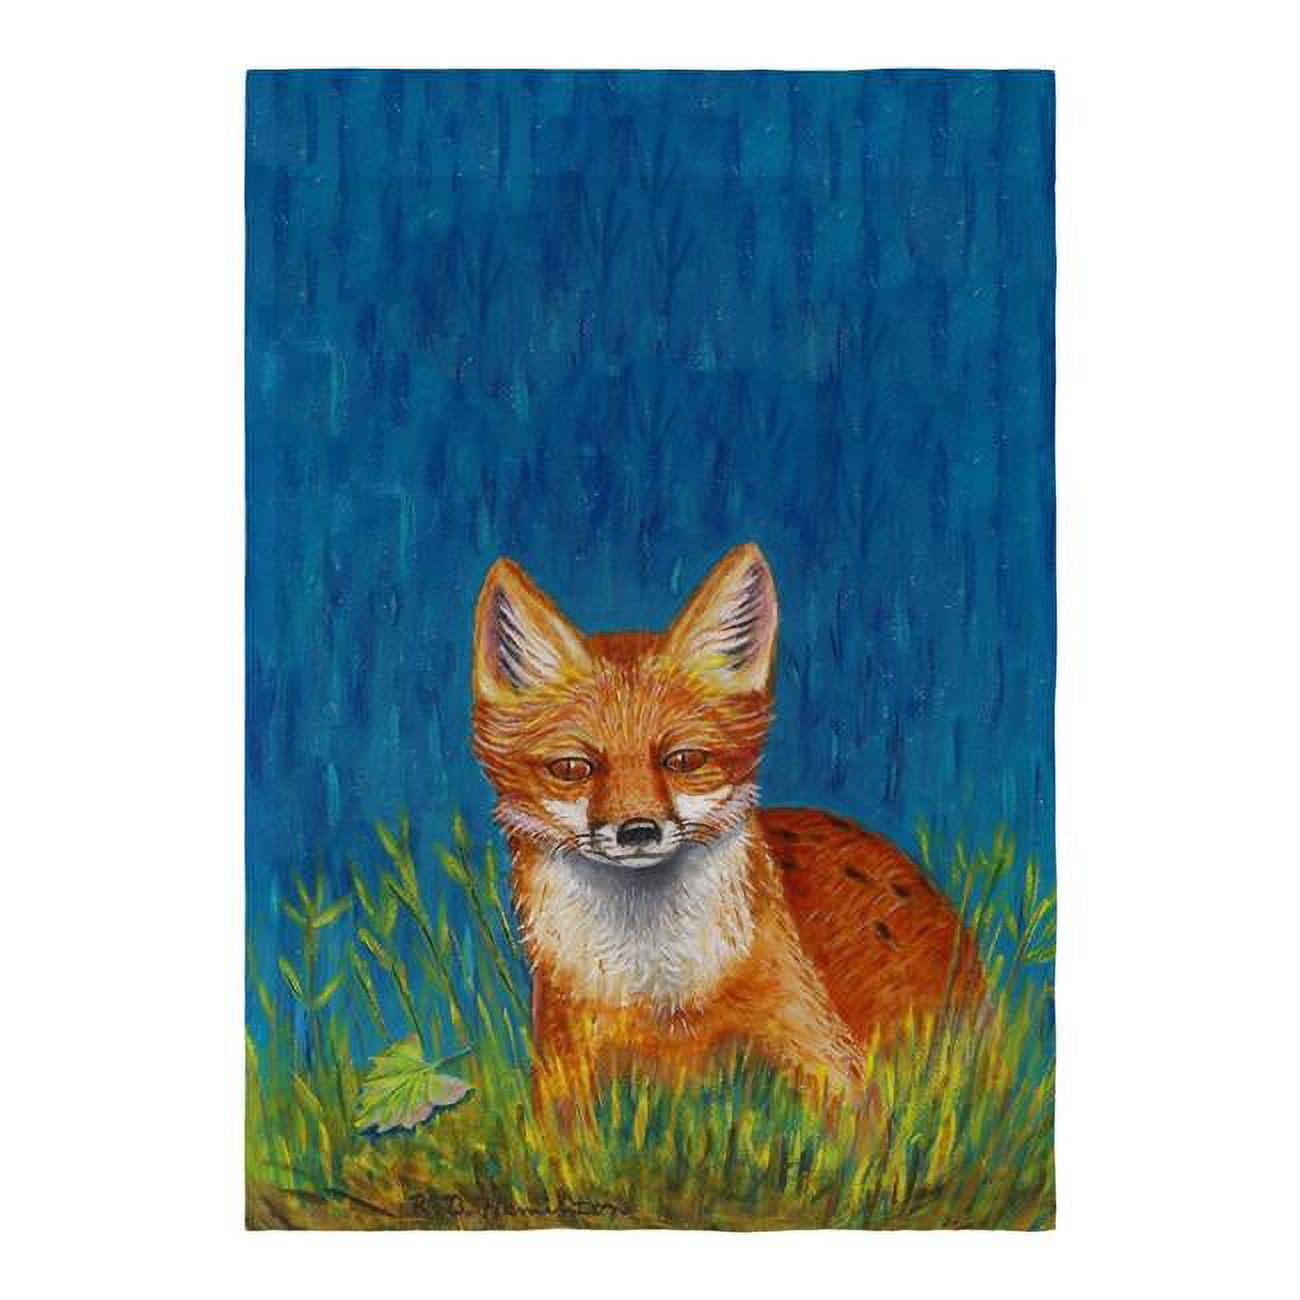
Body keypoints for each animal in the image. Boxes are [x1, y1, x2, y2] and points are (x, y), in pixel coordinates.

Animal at [471, 542, 982, 1104]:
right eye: (571, 768)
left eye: (684, 760)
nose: (638, 831)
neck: (659, 994)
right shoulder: (564, 1068)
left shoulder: (827, 1059)